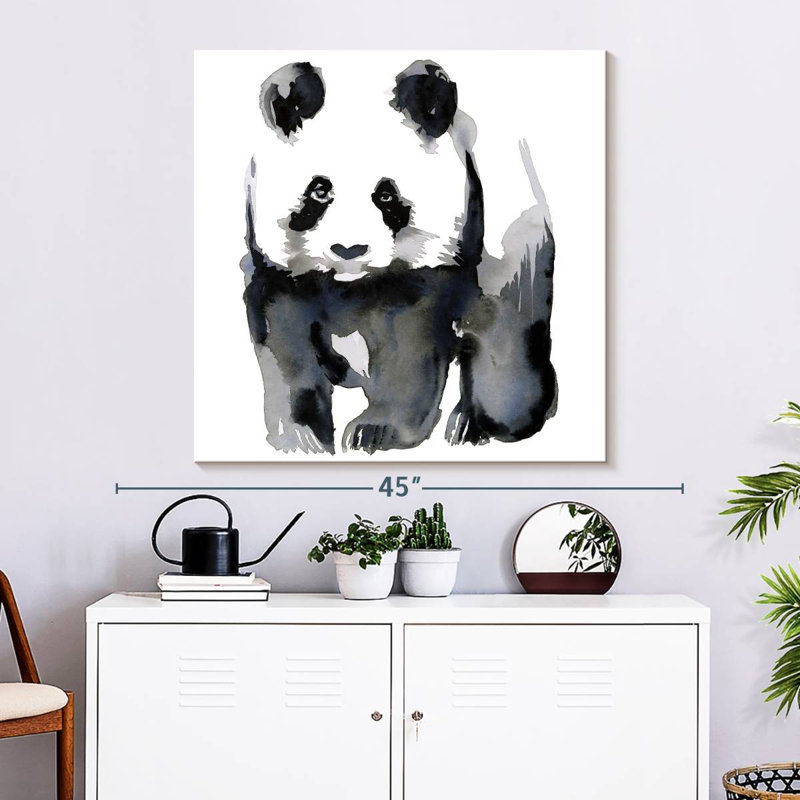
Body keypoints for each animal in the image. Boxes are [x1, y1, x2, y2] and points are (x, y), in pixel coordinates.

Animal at [241, 59, 557, 455]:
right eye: (319, 190)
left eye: (386, 195)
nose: (349, 250)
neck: (351, 284)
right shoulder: (282, 271)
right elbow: (284, 341)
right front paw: (302, 436)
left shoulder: (438, 262)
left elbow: (408, 348)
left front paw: (374, 432)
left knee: (505, 333)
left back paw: (480, 423)